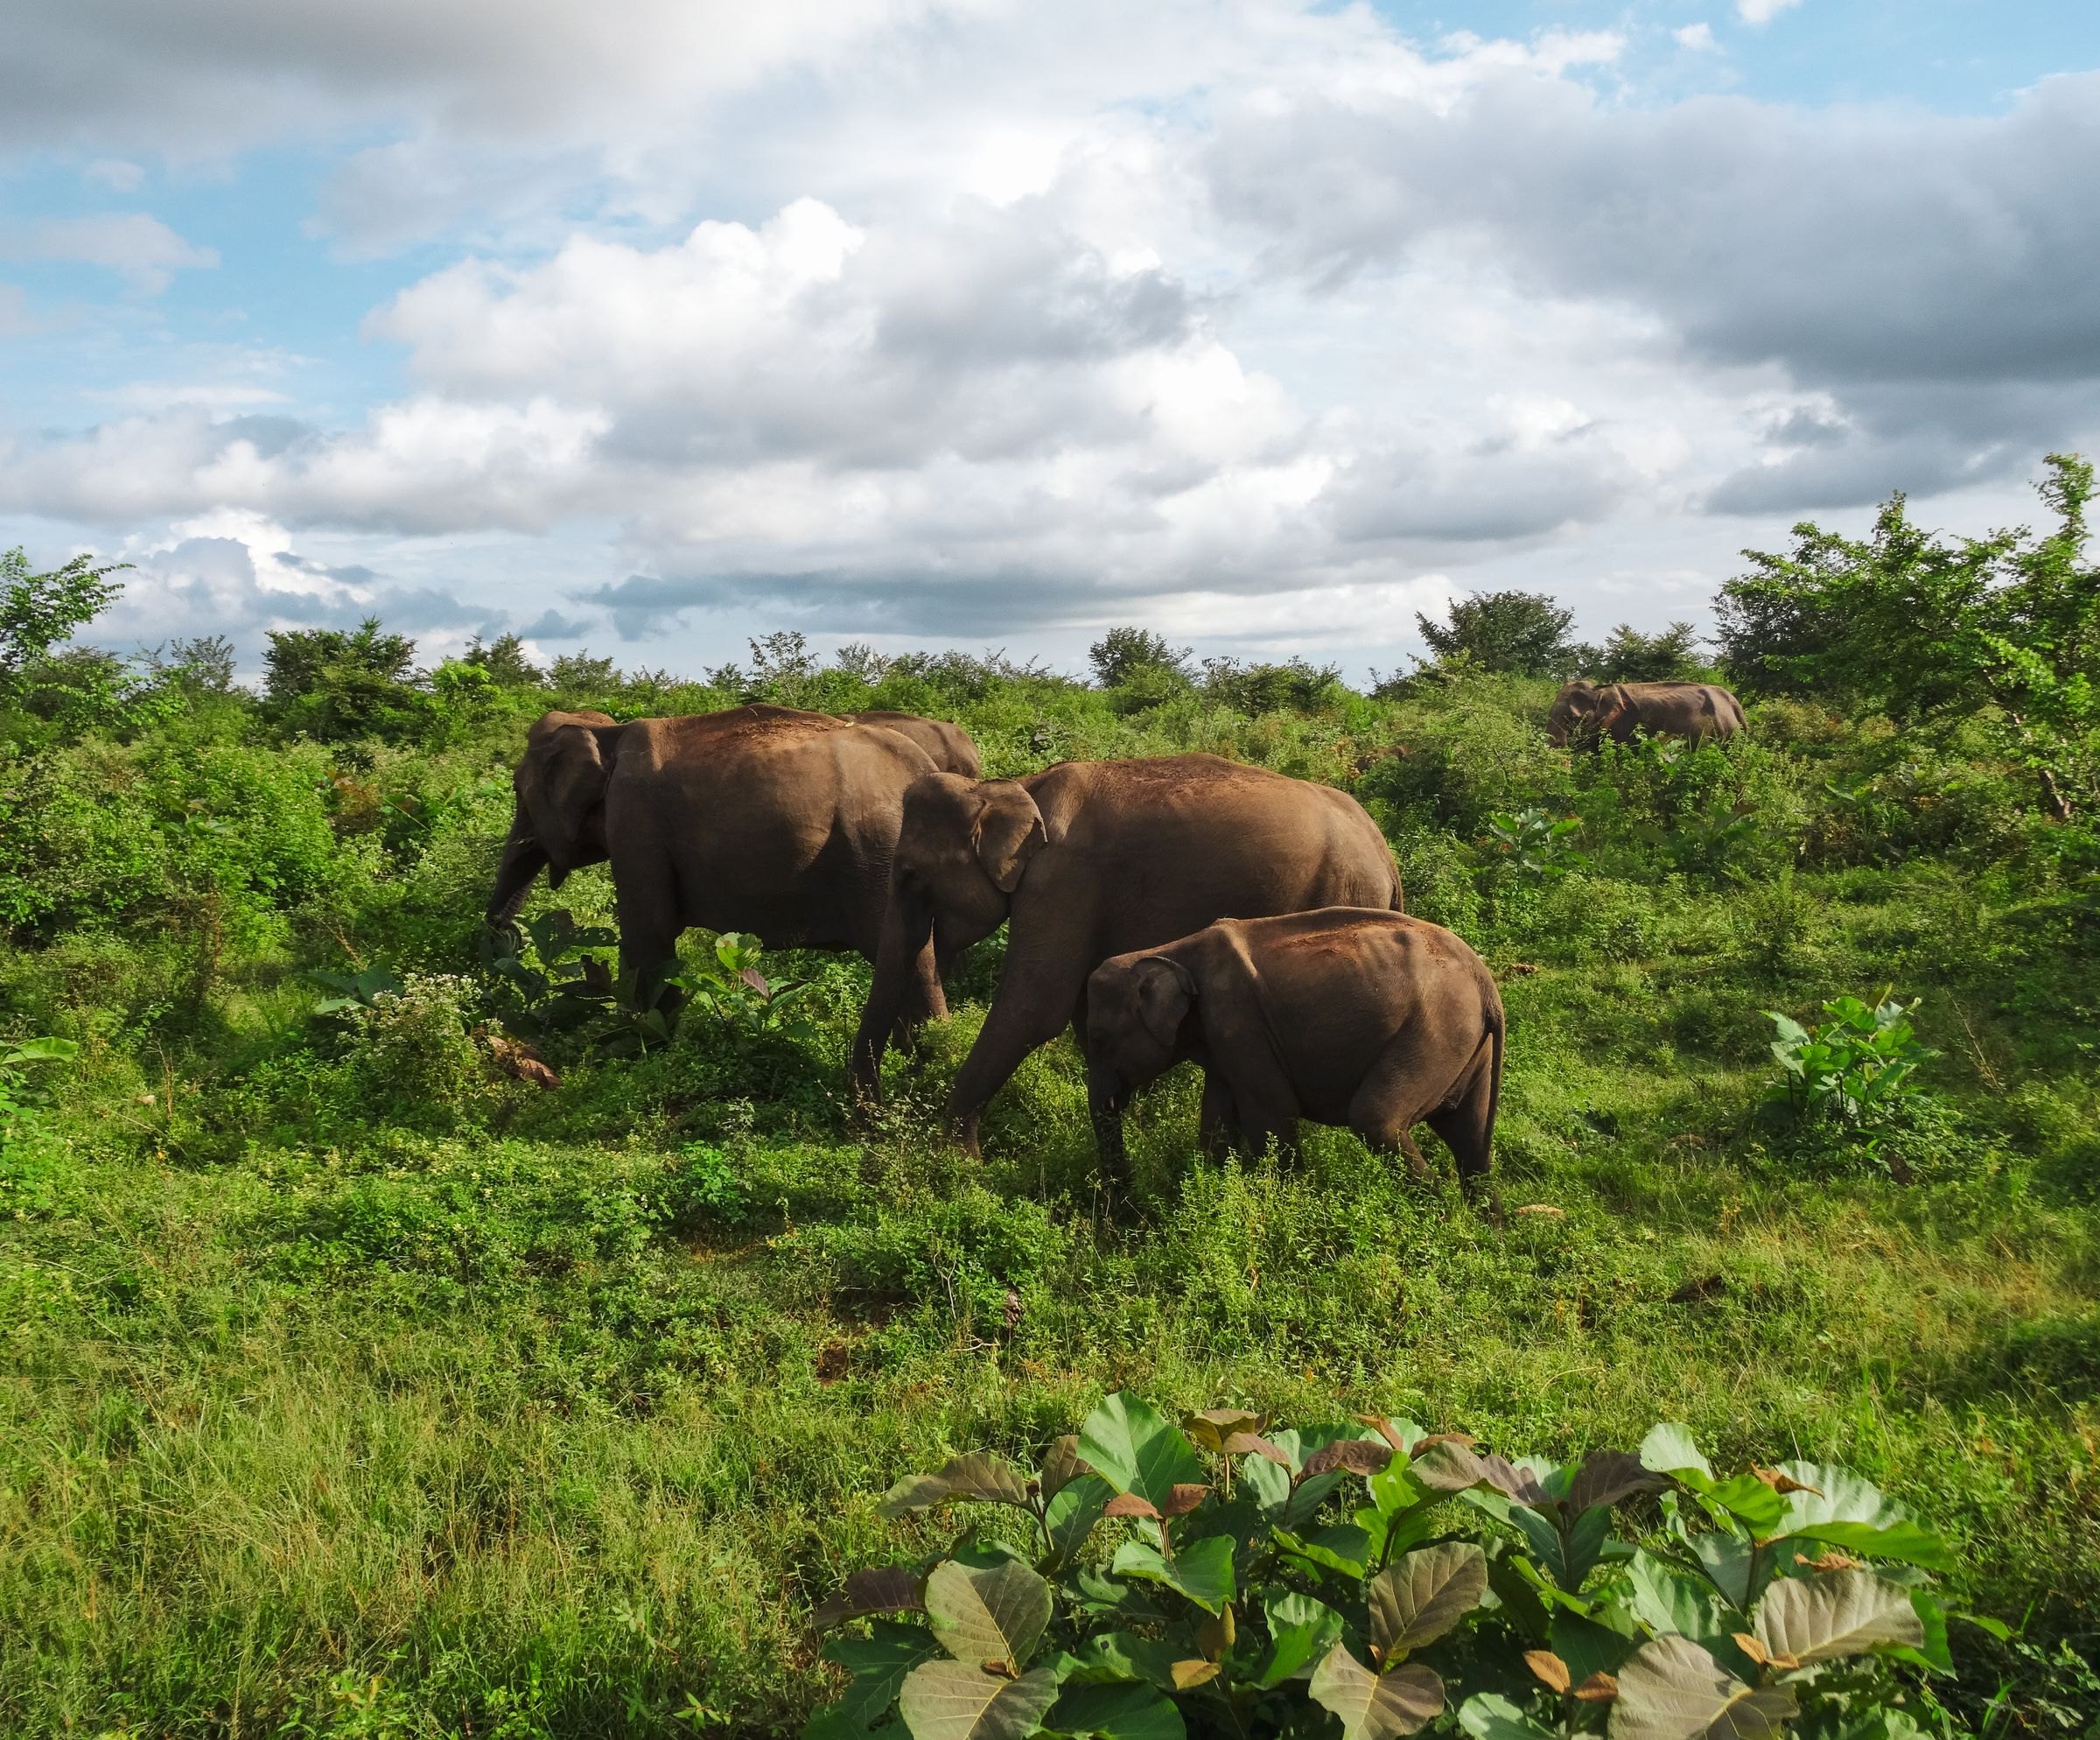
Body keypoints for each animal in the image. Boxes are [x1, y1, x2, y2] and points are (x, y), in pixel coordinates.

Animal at [486, 704, 946, 1027]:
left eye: (518, 791)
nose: (508, 936)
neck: (606, 733)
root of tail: (926, 768)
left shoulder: (634, 820)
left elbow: (648, 932)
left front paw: (654, 1046)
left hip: (877, 857)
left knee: (910, 961)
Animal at [851, 754, 1402, 1166]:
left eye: (911, 875)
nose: (866, 1126)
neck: (1009, 788)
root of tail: (1383, 851)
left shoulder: (1061, 880)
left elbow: (1034, 1010)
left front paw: (957, 1162)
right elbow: (1075, 1009)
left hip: (1336, 892)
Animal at [1084, 908, 1504, 1202]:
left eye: (1098, 1039)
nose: (1125, 1208)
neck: (1168, 951)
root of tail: (1487, 985)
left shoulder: (1239, 1021)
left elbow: (1272, 1113)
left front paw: (1287, 1205)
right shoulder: (1224, 1041)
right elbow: (1217, 1118)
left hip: (1436, 1032)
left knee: (1376, 1119)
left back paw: (1438, 1216)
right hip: (1464, 1044)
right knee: (1469, 1139)